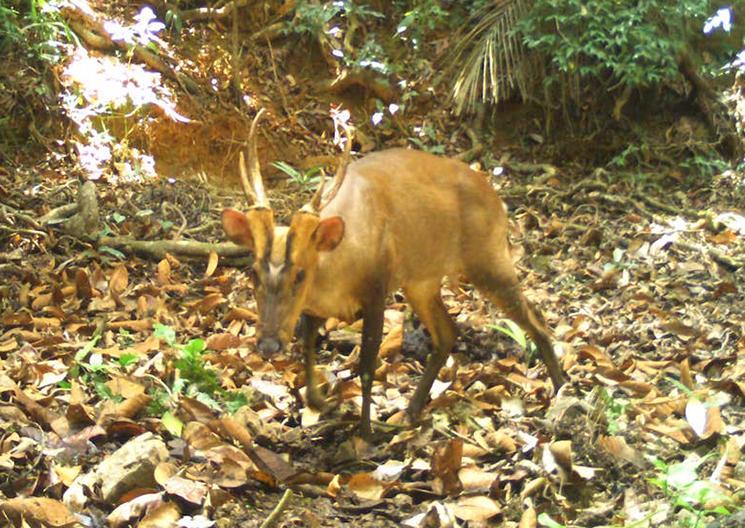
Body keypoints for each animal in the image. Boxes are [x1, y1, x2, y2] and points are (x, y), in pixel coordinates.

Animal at [221, 108, 564, 438]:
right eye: (253, 273)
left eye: (300, 275)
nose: (268, 345)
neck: (337, 266)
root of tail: (497, 199)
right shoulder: (314, 307)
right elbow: (307, 344)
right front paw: (321, 401)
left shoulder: (376, 290)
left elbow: (367, 364)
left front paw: (366, 433)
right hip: (421, 282)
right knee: (447, 333)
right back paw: (411, 411)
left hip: (488, 258)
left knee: (536, 319)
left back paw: (560, 391)